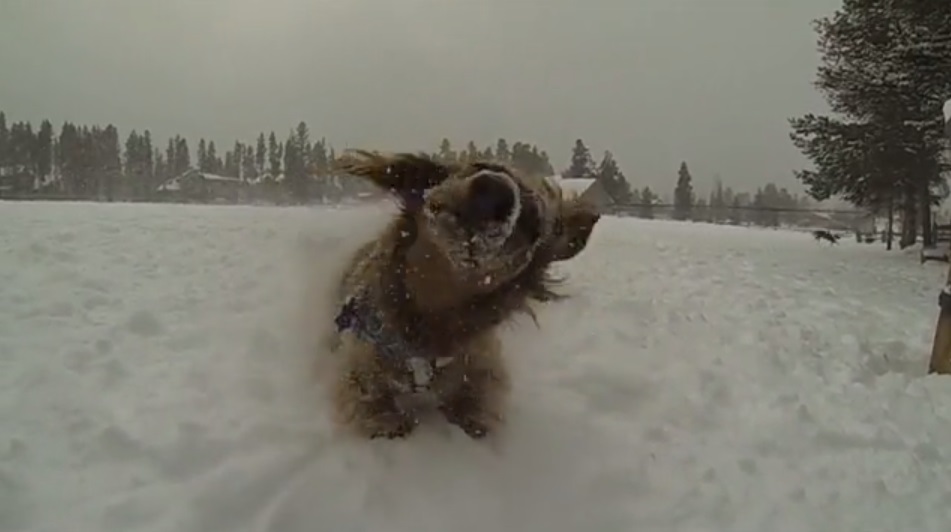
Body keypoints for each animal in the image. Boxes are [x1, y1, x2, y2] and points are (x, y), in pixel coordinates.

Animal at [324, 151, 600, 440]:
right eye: (481, 165)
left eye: (533, 221)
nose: (495, 189)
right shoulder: (361, 358)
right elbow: (367, 394)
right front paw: (386, 421)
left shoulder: (480, 367)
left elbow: (479, 404)